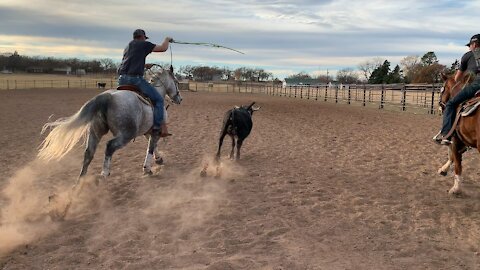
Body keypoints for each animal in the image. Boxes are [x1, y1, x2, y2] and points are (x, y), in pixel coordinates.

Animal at [38, 67, 182, 179]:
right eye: (176, 82)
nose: (179, 98)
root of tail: (107, 97)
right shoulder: (156, 131)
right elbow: (151, 147)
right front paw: (147, 168)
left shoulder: (148, 131)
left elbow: (152, 145)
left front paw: (159, 159)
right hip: (125, 135)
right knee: (109, 146)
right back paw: (104, 173)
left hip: (95, 131)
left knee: (89, 153)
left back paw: (80, 183)